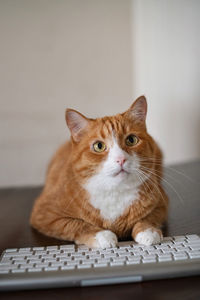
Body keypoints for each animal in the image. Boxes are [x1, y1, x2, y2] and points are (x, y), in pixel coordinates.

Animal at [30, 96, 168, 248]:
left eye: (131, 140)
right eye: (99, 146)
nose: (121, 159)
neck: (114, 192)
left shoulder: (162, 204)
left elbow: (149, 218)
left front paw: (148, 231)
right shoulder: (44, 214)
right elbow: (75, 224)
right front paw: (102, 235)